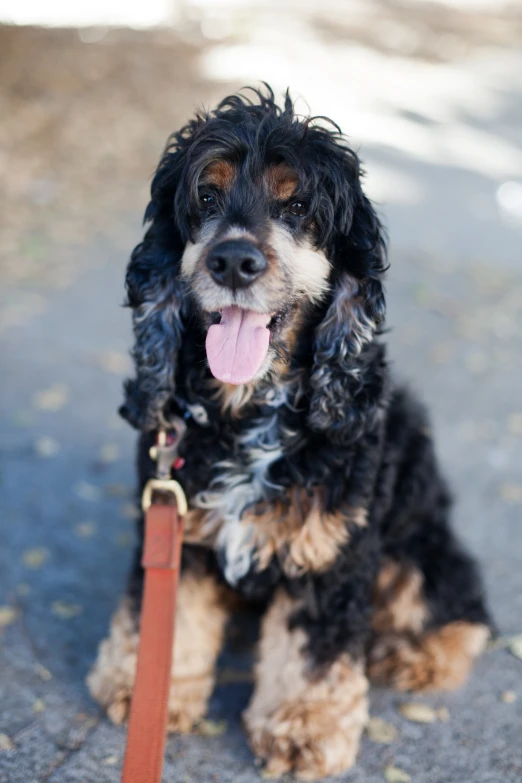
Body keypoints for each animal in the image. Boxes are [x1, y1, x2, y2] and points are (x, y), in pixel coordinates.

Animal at [87, 84, 490, 776]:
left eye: (298, 205)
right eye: (207, 196)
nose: (233, 261)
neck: (250, 413)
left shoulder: (332, 553)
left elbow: (315, 657)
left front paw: (304, 729)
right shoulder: (176, 530)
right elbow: (172, 617)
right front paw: (148, 688)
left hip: (417, 542)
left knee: (459, 603)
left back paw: (413, 655)